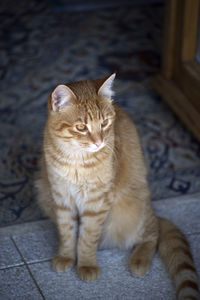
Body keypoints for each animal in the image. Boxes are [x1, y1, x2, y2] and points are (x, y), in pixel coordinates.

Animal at [37, 74, 198, 298]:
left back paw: (139, 260)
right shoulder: (61, 198)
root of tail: (151, 209)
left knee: (152, 234)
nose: (99, 142)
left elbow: (87, 238)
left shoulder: (96, 204)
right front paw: (66, 256)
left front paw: (86, 265)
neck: (76, 161)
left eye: (104, 123)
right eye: (81, 127)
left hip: (133, 209)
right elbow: (67, 233)